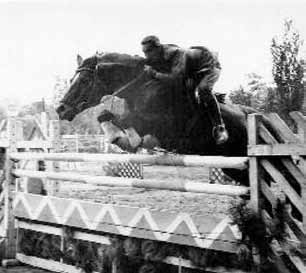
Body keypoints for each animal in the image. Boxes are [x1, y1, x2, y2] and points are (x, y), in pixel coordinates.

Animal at [56, 52, 255, 184]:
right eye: (72, 79)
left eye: (84, 81)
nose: (60, 109)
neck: (141, 86)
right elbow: (104, 115)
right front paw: (124, 140)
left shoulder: (161, 124)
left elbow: (126, 121)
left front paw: (132, 141)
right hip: (232, 167)